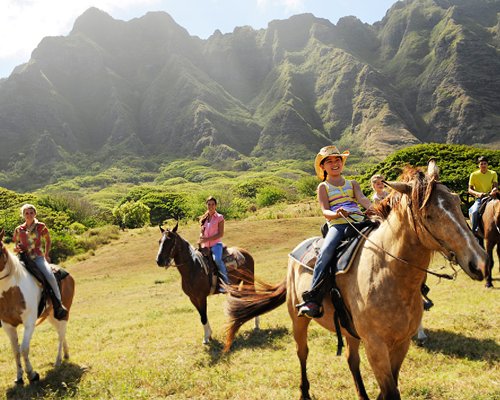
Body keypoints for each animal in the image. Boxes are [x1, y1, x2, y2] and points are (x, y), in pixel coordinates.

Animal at [0, 230, 75, 382]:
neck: (11, 290)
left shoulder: (29, 322)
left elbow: (24, 349)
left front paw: (32, 374)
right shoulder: (7, 325)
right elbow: (15, 350)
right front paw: (19, 377)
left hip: (64, 314)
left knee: (61, 333)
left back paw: (58, 360)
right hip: (51, 315)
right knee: (60, 331)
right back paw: (65, 354)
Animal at [223, 162, 484, 400]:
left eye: (457, 201)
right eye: (428, 214)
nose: (480, 262)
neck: (389, 275)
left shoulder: (401, 343)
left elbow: (387, 389)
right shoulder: (376, 346)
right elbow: (390, 392)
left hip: (348, 330)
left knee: (351, 359)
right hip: (298, 320)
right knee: (302, 353)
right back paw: (304, 392)